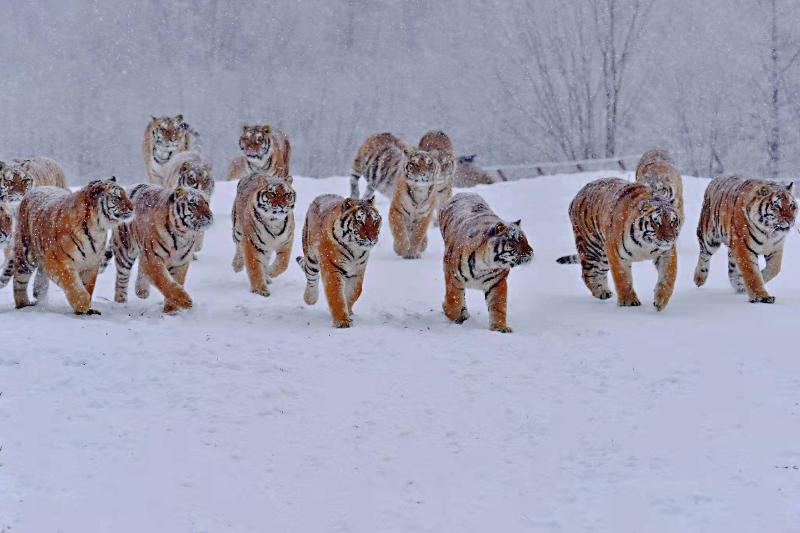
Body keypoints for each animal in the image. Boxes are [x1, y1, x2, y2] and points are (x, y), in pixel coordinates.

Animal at [13, 178, 134, 315]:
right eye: (117, 197)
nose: (132, 208)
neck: (97, 229)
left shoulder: (91, 264)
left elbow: (88, 287)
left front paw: (87, 309)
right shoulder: (58, 262)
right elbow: (74, 285)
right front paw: (82, 305)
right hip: (25, 254)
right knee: (19, 280)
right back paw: (23, 304)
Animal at [111, 184, 213, 313]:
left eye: (206, 203)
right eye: (193, 204)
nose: (209, 216)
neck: (181, 236)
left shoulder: (180, 262)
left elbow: (176, 281)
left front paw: (171, 310)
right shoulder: (153, 258)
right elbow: (164, 282)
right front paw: (185, 301)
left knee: (141, 268)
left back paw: (142, 291)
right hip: (124, 251)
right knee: (121, 280)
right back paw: (121, 303)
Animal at [295, 194, 382, 328]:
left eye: (375, 221)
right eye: (359, 221)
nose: (372, 238)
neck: (355, 250)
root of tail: (322, 195)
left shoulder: (358, 270)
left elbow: (355, 292)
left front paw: (348, 311)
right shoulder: (332, 268)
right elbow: (336, 295)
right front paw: (342, 321)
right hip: (310, 256)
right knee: (311, 277)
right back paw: (310, 298)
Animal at [439, 193, 533, 333]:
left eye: (525, 240)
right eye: (513, 243)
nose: (531, 253)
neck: (484, 264)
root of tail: (464, 193)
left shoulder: (497, 282)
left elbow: (498, 306)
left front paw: (500, 328)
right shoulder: (453, 278)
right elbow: (453, 301)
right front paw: (454, 314)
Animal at [556, 178, 682, 311]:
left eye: (673, 222)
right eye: (656, 223)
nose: (669, 239)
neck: (646, 244)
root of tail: (578, 195)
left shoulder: (666, 253)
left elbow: (668, 277)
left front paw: (661, 300)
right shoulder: (616, 253)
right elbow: (622, 278)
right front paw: (628, 302)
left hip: (603, 258)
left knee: (599, 273)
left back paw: (604, 291)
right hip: (593, 248)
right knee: (588, 273)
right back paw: (601, 293)